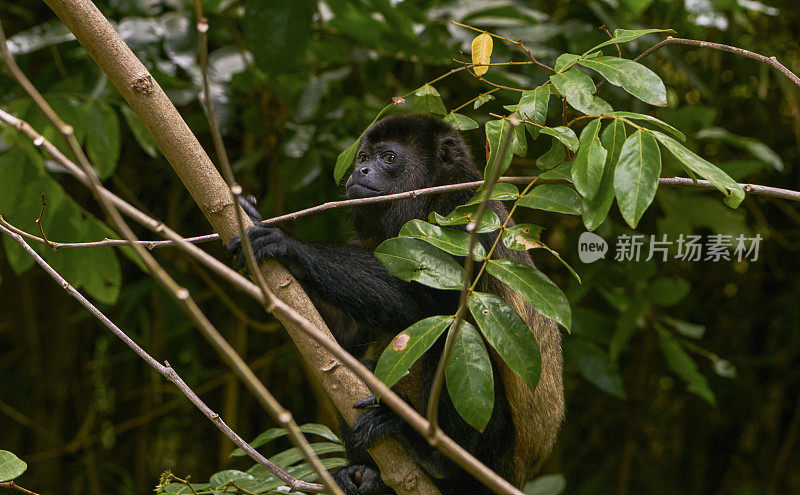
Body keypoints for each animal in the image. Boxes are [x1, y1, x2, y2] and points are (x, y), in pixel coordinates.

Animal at [228, 114, 564, 494]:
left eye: (388, 158)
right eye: (362, 158)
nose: (360, 171)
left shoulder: (463, 220)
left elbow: (431, 305)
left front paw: (291, 247)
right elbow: (340, 340)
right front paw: (255, 220)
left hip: (492, 459)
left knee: (453, 332)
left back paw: (436, 456)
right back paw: (363, 474)